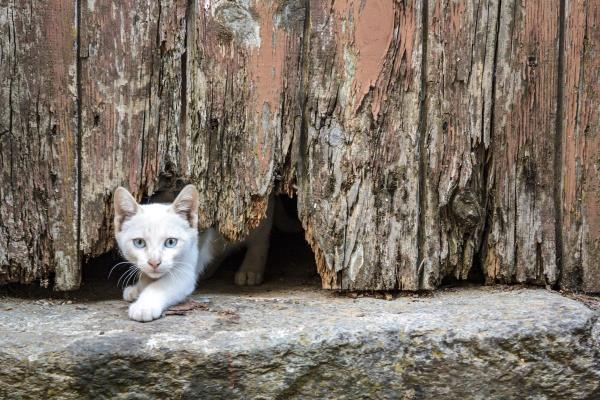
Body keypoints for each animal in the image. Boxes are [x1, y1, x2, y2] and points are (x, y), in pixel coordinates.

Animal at [113, 184, 272, 322]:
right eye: (139, 243)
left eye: (171, 242)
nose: (154, 262)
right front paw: (138, 286)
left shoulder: (184, 271)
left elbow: (160, 286)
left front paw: (144, 305)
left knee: (260, 238)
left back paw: (250, 270)